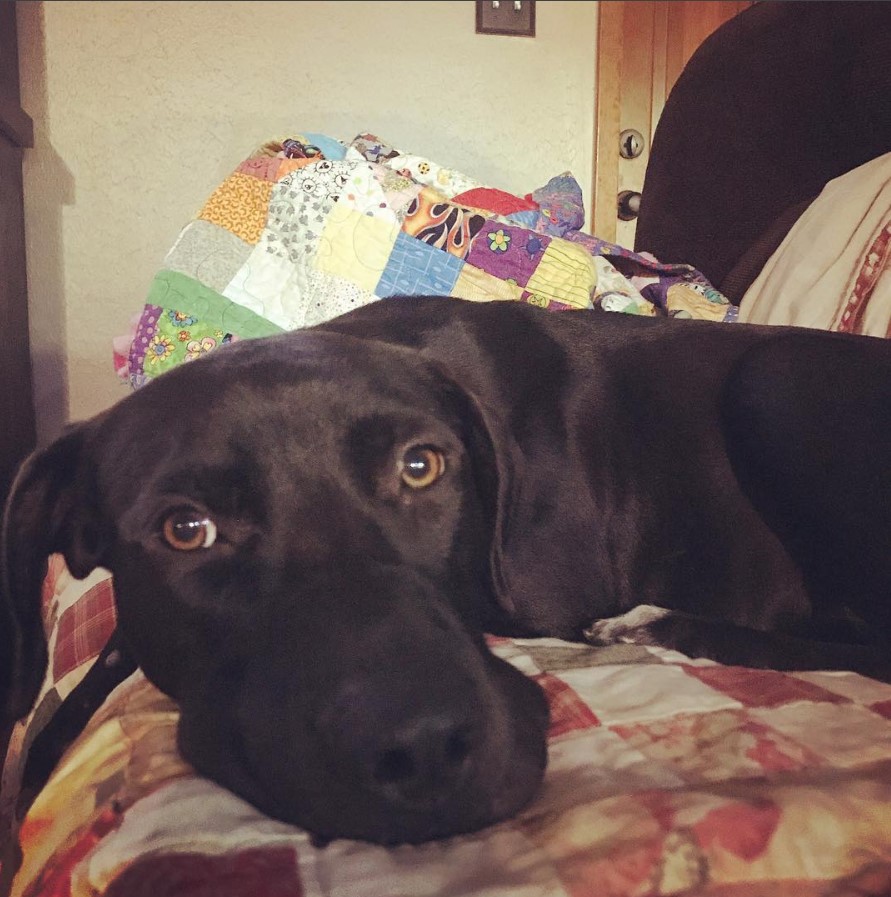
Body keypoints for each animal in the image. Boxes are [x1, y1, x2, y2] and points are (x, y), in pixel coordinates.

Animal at [5, 298, 891, 844]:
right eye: (185, 529)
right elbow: (78, 692)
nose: (424, 748)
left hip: (773, 379)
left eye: (421, 465)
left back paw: (661, 623)